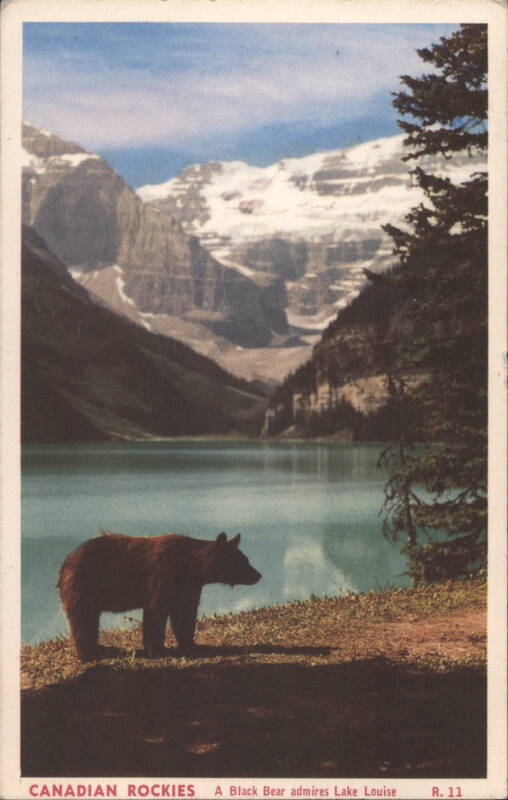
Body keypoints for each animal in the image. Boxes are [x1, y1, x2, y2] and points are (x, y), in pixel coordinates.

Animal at [58, 530, 261, 662]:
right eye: (242, 561)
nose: (258, 575)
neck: (193, 567)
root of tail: (66, 561)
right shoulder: (163, 575)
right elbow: (156, 611)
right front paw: (156, 648)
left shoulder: (188, 587)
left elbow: (184, 614)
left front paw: (191, 645)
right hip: (83, 586)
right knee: (82, 620)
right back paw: (89, 654)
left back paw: (102, 648)